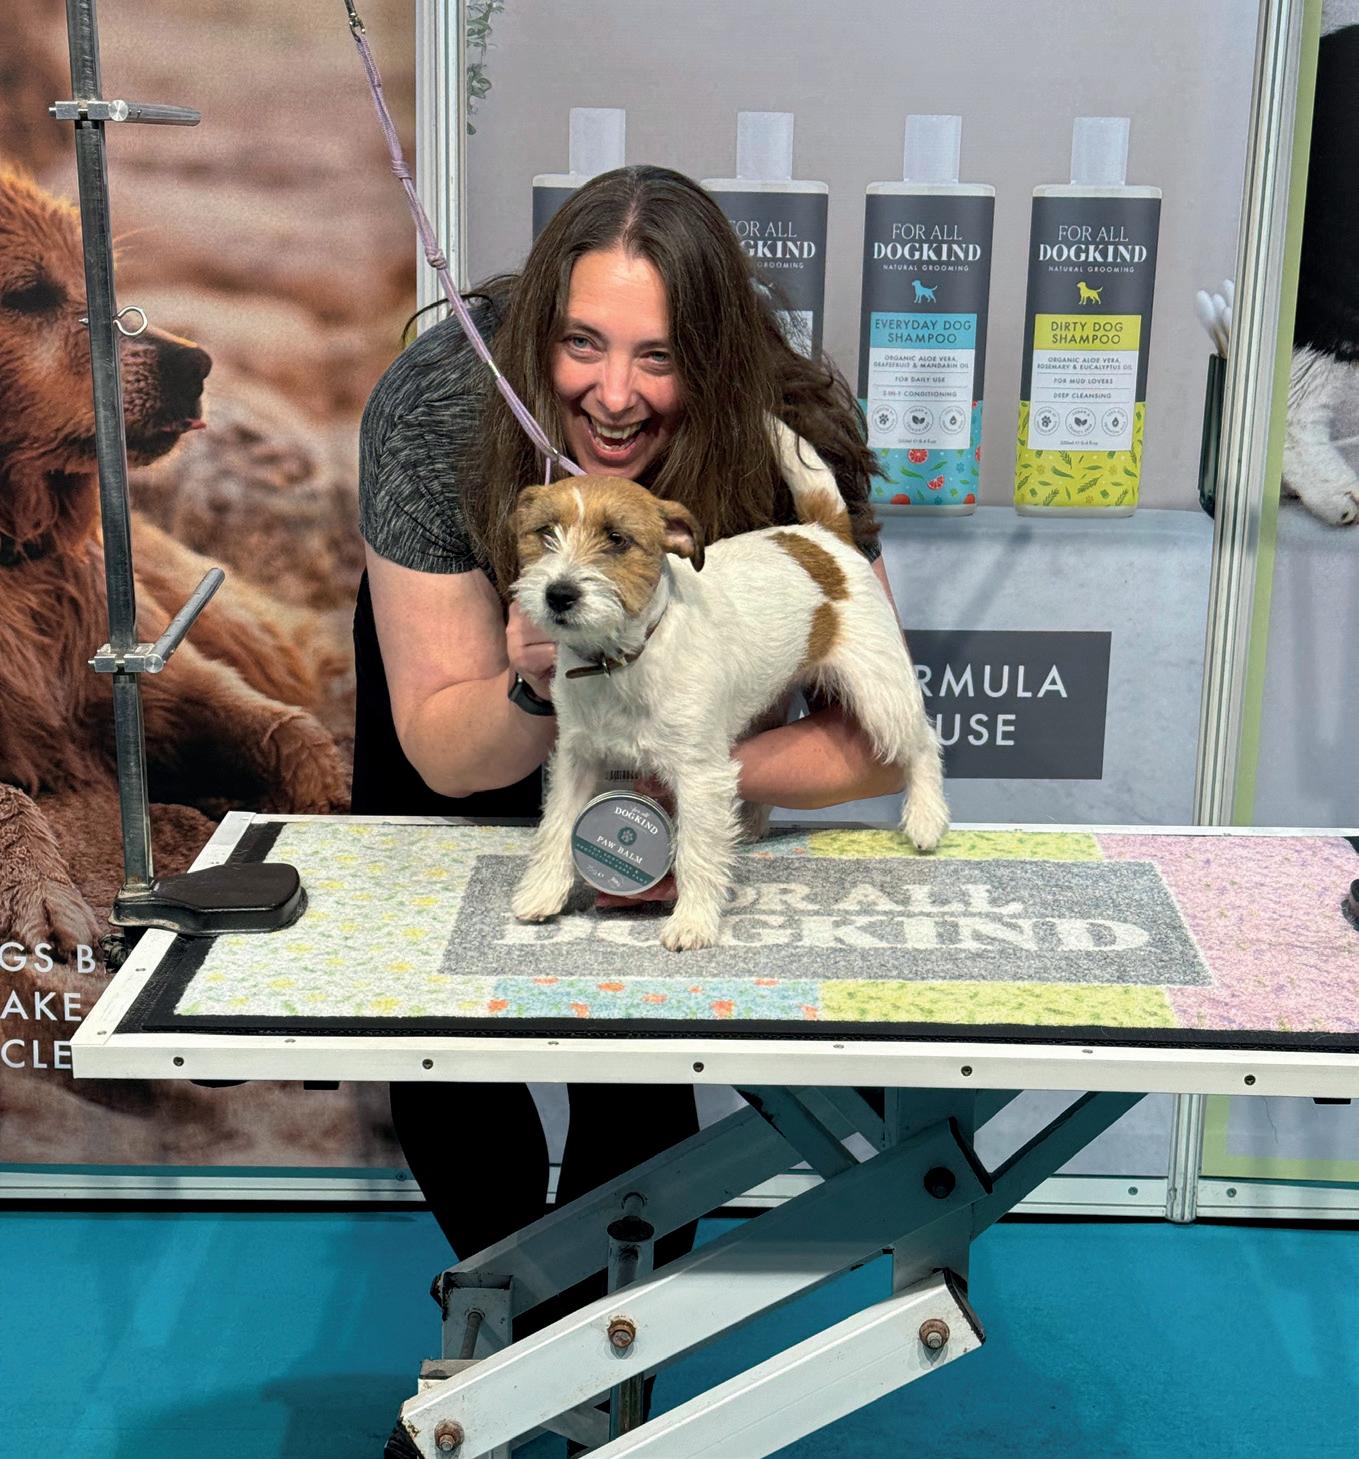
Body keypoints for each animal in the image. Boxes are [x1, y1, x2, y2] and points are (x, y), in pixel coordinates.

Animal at [0, 164, 348, 955]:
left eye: (97, 275)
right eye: (27, 293)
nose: (196, 363)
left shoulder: (155, 677)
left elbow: (288, 730)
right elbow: (9, 805)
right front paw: (44, 903)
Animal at [508, 423, 949, 951]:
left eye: (617, 539)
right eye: (545, 534)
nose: (559, 593)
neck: (620, 660)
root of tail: (824, 536)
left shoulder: (698, 774)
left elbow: (696, 849)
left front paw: (693, 920)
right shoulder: (577, 758)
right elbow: (557, 826)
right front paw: (543, 892)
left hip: (880, 688)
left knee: (923, 742)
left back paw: (926, 819)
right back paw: (750, 824)